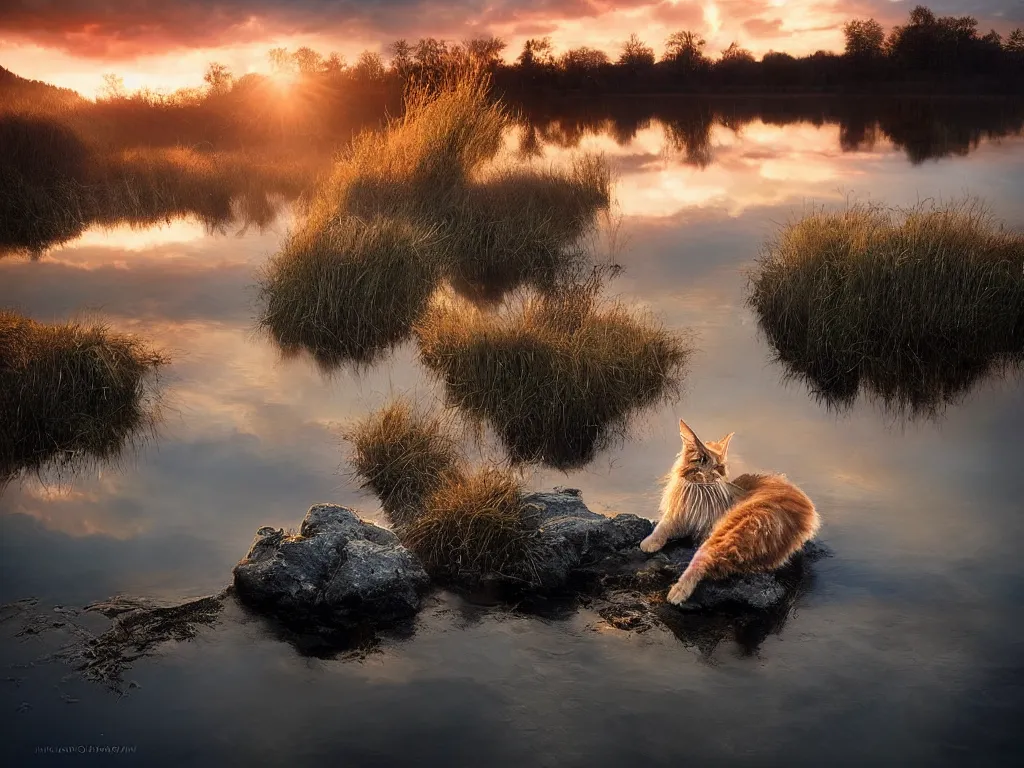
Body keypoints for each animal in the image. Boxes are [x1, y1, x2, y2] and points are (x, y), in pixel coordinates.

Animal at [643, 421, 819, 606]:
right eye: (702, 460)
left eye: (718, 467)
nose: (710, 474)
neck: (698, 494)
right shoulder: (679, 517)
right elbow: (663, 526)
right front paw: (650, 542)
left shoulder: (704, 526)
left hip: (729, 529)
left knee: (703, 557)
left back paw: (678, 592)